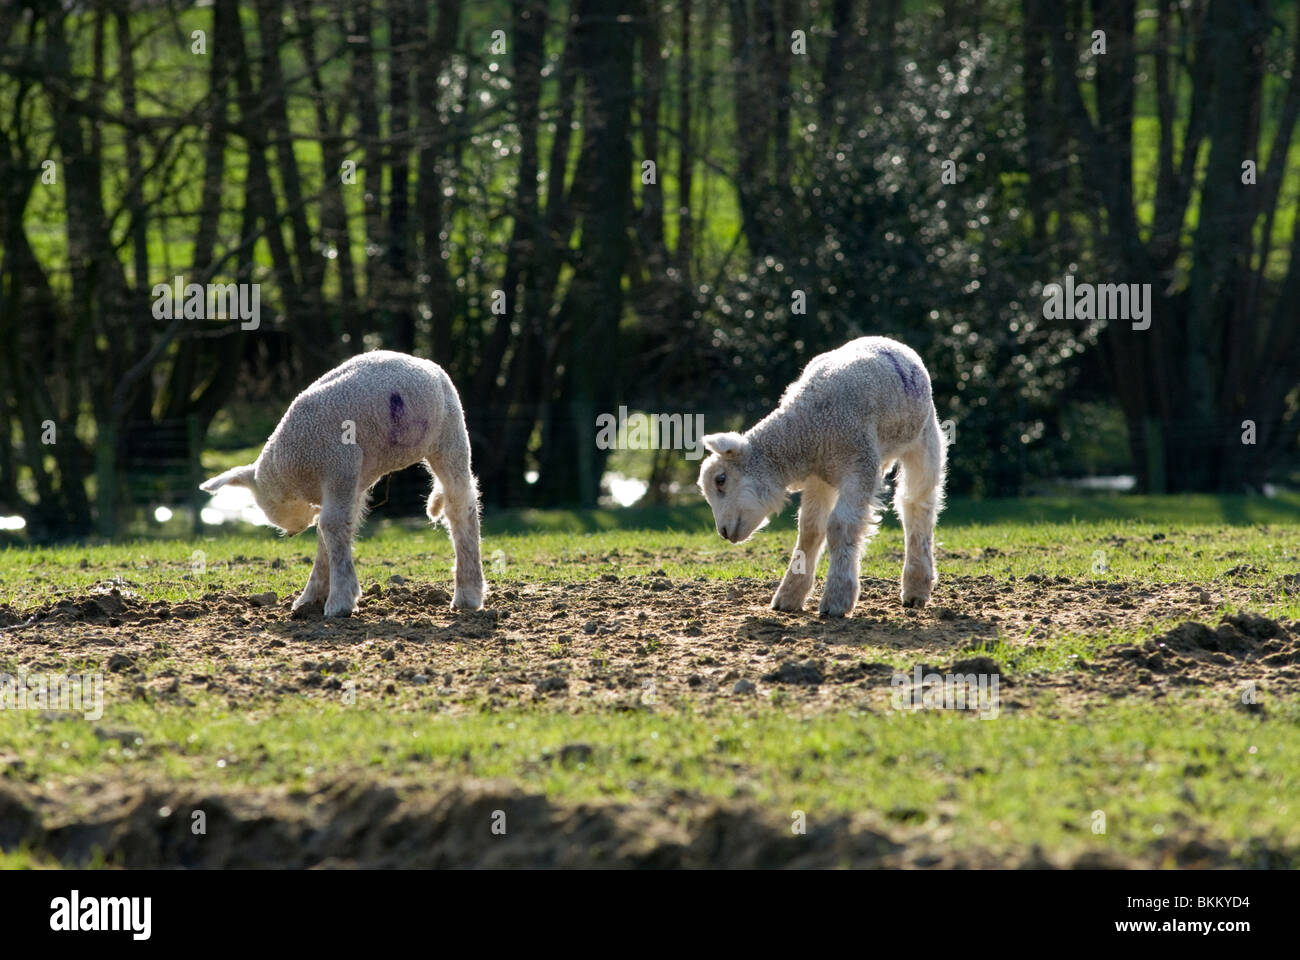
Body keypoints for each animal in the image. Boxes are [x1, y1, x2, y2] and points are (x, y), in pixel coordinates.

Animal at [197, 348, 488, 613]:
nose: (291, 532)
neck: (293, 467)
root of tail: (426, 364)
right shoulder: (349, 480)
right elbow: (331, 532)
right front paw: (311, 598)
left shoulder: (339, 464)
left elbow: (331, 526)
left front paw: (339, 602)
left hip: (449, 434)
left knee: (460, 504)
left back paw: (468, 595)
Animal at [702, 335, 946, 616]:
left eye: (721, 480)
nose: (723, 532)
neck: (807, 428)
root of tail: (887, 340)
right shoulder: (818, 477)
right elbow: (809, 529)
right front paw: (790, 595)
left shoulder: (860, 465)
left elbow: (840, 527)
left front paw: (837, 599)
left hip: (924, 438)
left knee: (916, 504)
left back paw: (916, 587)